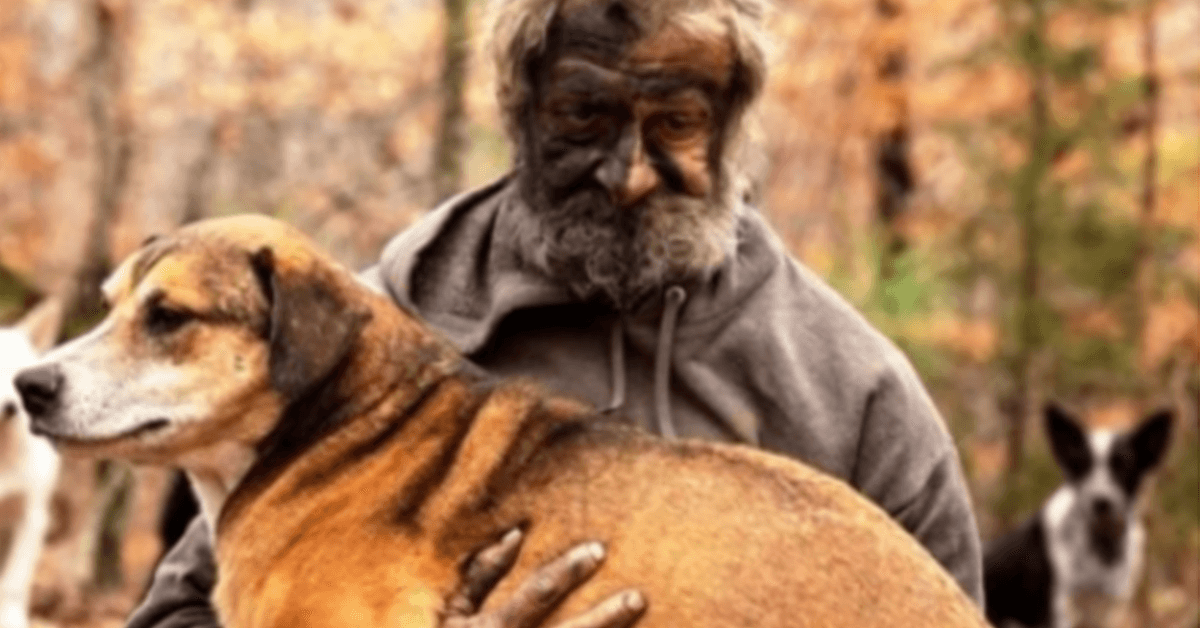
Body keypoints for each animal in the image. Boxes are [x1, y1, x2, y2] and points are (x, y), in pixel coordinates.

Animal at [984, 405, 1171, 624]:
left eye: (1123, 467)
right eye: (1082, 465)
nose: (1101, 502)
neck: (1103, 547)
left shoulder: (1109, 612)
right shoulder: (1059, 612)